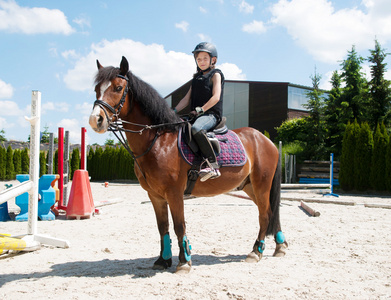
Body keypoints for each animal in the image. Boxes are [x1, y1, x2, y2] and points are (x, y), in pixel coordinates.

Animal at [90, 56, 290, 274]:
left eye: (118, 88)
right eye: (97, 89)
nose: (95, 120)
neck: (158, 141)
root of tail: (265, 140)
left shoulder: (174, 193)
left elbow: (179, 226)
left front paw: (184, 261)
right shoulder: (155, 196)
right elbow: (163, 228)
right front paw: (163, 260)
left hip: (261, 185)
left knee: (265, 214)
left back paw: (256, 252)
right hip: (249, 187)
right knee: (270, 212)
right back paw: (279, 246)